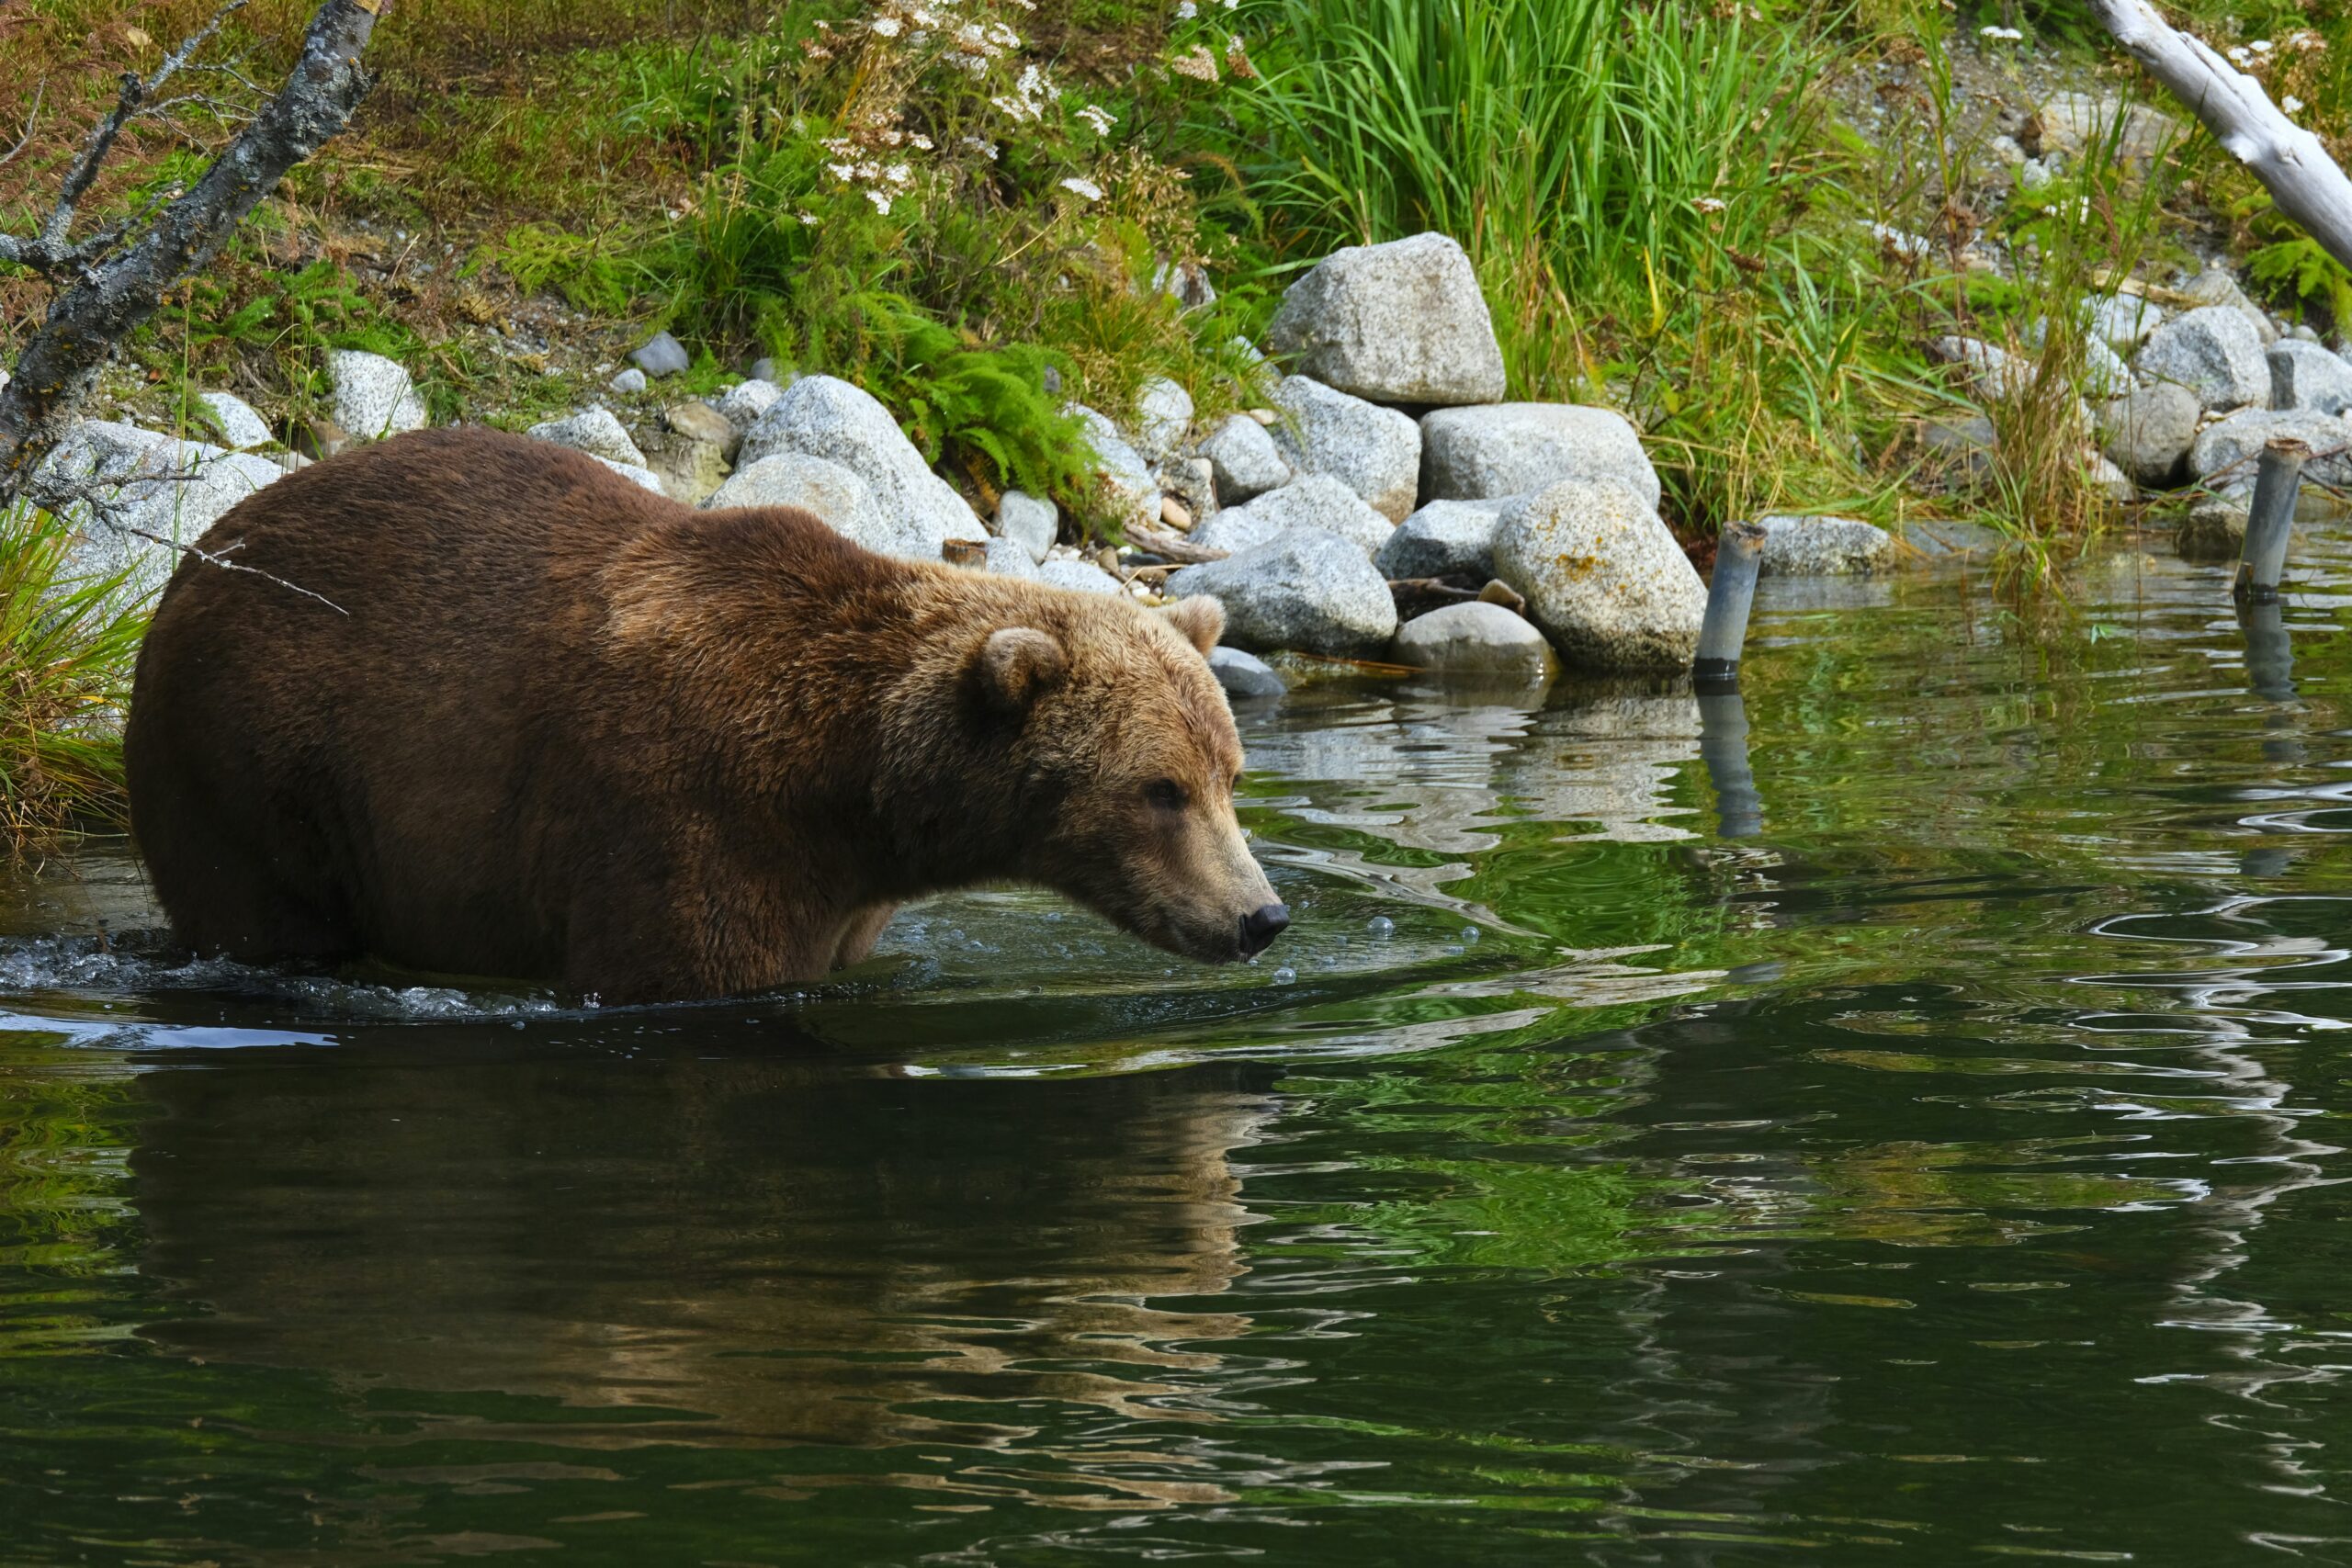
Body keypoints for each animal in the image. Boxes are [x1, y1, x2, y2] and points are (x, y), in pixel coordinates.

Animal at [121, 423, 1298, 1001]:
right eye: (1158, 789)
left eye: (1228, 777)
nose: (1259, 916)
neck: (851, 786)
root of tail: (199, 558)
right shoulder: (694, 825)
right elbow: (680, 966)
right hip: (257, 754)